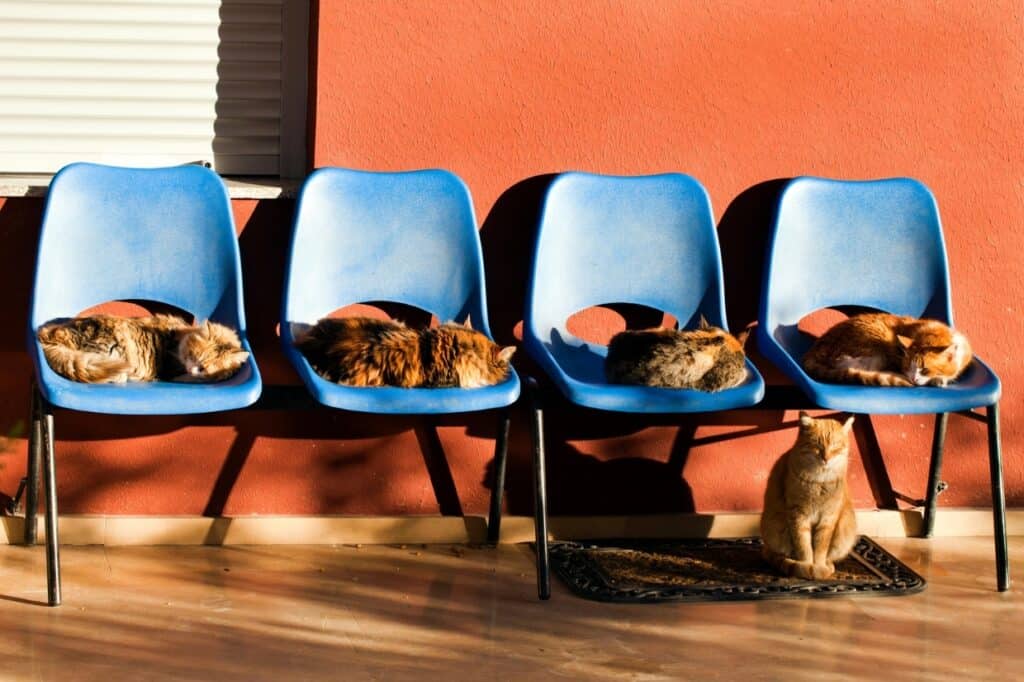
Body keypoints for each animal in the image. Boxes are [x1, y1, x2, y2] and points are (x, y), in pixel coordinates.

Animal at [757, 409, 860, 577]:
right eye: (817, 444)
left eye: (835, 446)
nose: (826, 458)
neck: (820, 482)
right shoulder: (798, 515)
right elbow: (803, 545)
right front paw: (807, 565)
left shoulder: (828, 518)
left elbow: (820, 547)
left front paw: (818, 565)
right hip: (774, 527)